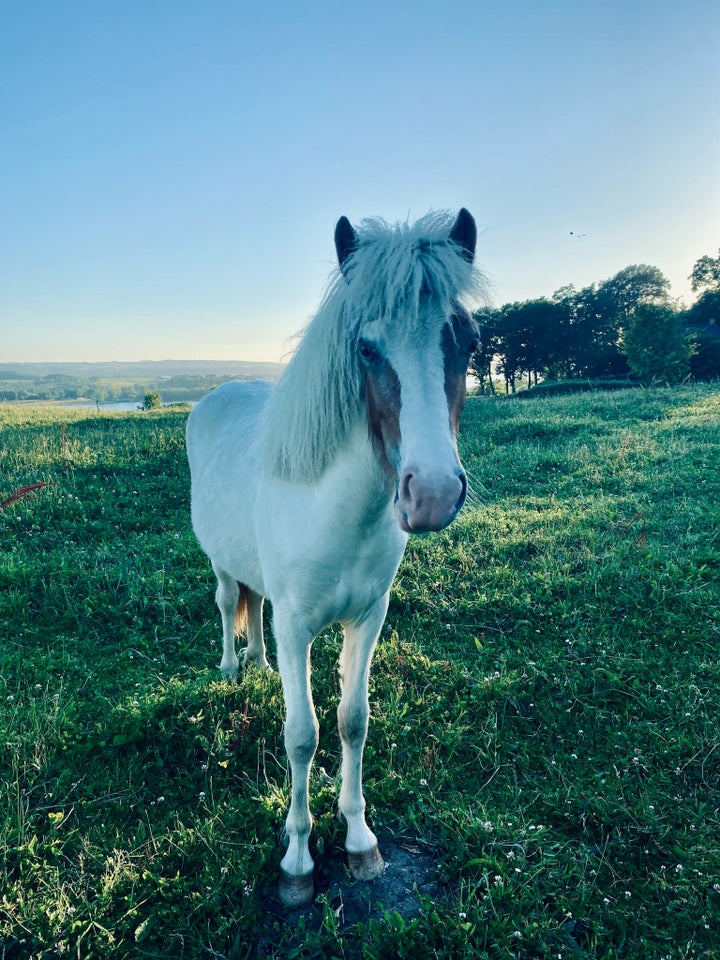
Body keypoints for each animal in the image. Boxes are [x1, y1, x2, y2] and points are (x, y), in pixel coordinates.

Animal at [187, 206, 484, 904]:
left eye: (469, 341)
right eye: (367, 348)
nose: (432, 493)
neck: (341, 516)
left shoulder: (367, 618)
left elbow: (352, 721)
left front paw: (358, 839)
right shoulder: (298, 627)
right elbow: (302, 736)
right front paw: (296, 859)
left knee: (254, 610)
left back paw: (258, 664)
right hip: (220, 564)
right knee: (227, 602)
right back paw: (232, 668)